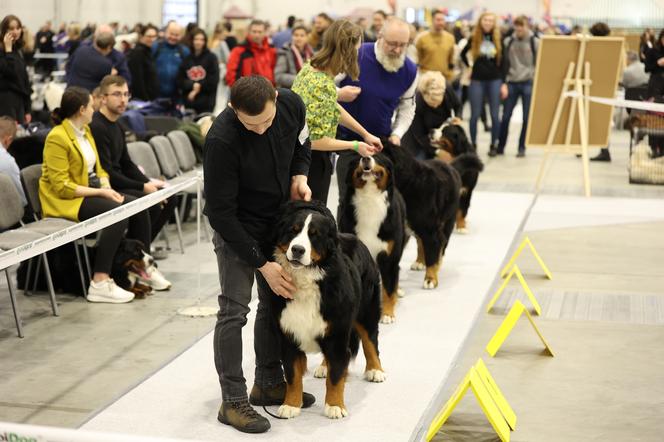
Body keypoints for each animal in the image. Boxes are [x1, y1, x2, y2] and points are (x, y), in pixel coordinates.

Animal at [270, 202, 384, 420]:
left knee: (370, 341)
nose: (297, 249)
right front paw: (291, 405)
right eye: (293, 231)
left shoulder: (338, 336)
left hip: (366, 312)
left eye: (314, 235)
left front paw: (335, 406)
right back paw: (324, 366)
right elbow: (293, 376)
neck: (306, 280)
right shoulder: (288, 336)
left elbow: (336, 377)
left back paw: (375, 370)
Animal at [340, 154, 408, 322]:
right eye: (358, 159)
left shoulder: (389, 257)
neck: (369, 199)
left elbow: (389, 288)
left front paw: (388, 314)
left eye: (378, 157)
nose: (365, 158)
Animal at [378, 140, 462, 288]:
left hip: (447, 220)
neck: (407, 185)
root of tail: (449, 167)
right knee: (420, 241)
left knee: (442, 242)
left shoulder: (430, 229)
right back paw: (420, 262)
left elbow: (433, 254)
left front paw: (430, 279)